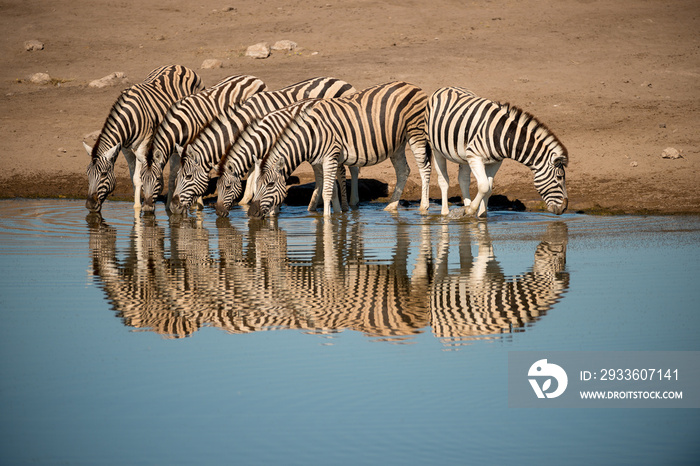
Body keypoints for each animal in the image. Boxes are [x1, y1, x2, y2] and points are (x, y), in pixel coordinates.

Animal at [84, 64, 202, 213]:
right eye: (87, 174)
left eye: (104, 174)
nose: (90, 205)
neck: (129, 118)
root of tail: (179, 66)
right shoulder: (125, 149)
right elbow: (133, 177)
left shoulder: (142, 145)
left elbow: (137, 178)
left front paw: (137, 207)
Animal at [141, 74, 266, 213]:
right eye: (141, 179)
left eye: (158, 179)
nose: (146, 208)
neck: (181, 124)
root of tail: (254, 77)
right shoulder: (175, 151)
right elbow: (173, 177)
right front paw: (169, 207)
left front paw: (198, 204)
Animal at [168, 77, 356, 215]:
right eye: (177, 177)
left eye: (188, 177)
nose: (173, 208)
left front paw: (270, 208)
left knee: (345, 169)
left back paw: (348, 205)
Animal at [246, 80, 432, 218]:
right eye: (256, 184)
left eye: (270, 184)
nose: (251, 213)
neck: (310, 136)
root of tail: (412, 85)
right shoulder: (321, 161)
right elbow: (332, 190)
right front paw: (337, 215)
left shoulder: (330, 156)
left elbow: (327, 192)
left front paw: (327, 221)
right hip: (397, 143)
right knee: (403, 171)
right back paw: (391, 207)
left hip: (416, 133)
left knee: (424, 168)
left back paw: (424, 207)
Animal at [426, 86, 568, 218]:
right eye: (559, 177)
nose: (564, 208)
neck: (502, 135)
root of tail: (447, 87)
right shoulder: (474, 156)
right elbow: (483, 186)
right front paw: (470, 210)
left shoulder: (495, 162)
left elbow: (488, 189)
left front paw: (481, 215)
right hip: (436, 149)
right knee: (443, 181)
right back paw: (445, 213)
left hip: (463, 155)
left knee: (463, 180)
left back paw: (465, 206)